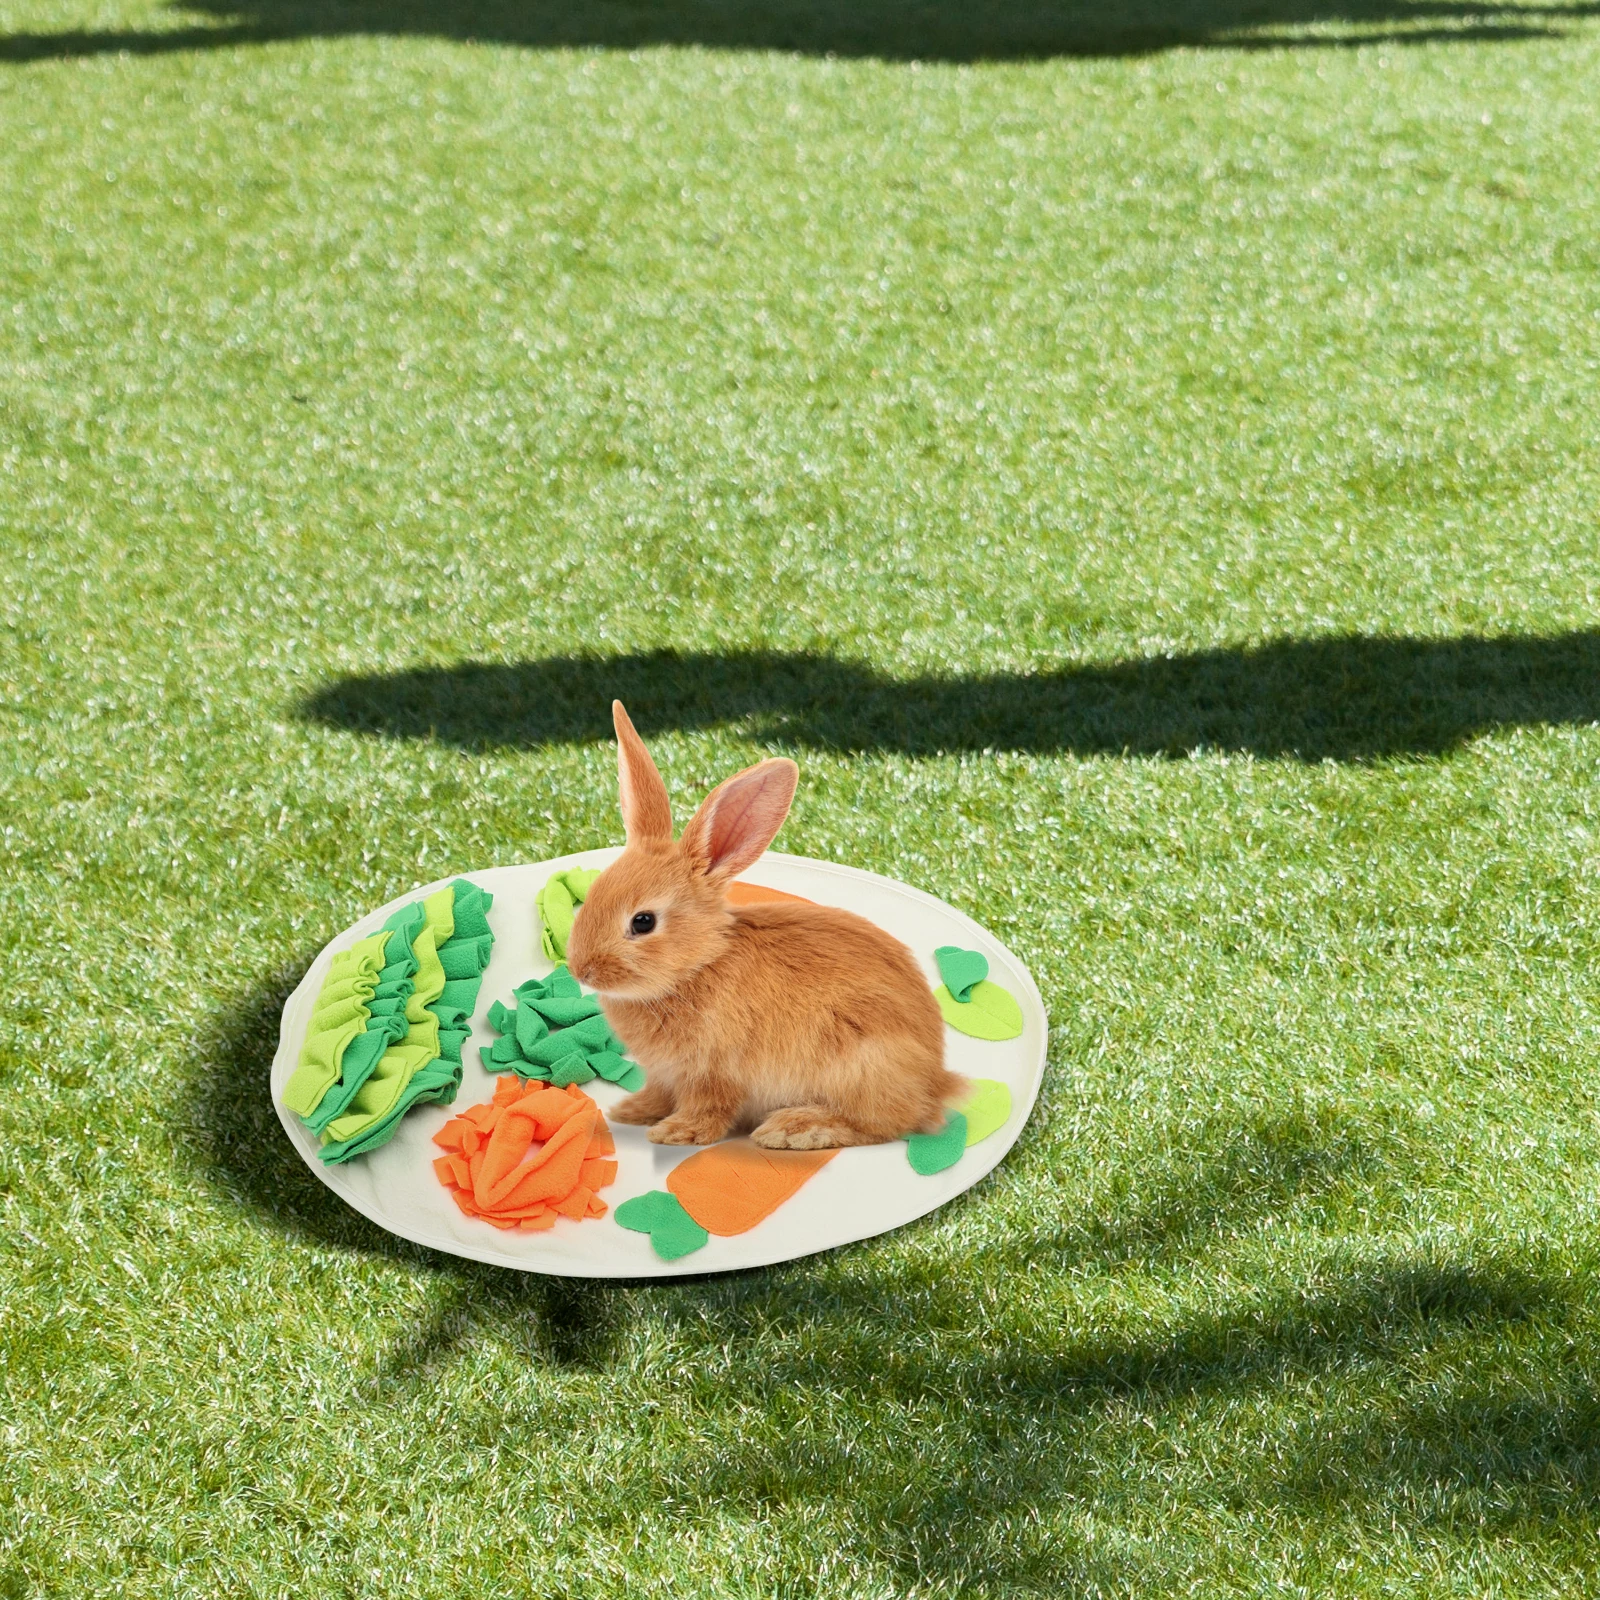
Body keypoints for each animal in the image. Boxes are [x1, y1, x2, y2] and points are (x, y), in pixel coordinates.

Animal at [564, 701, 965, 1149]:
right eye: (593, 893)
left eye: (643, 922)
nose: (581, 970)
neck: (698, 966)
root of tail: (935, 1082)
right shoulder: (665, 1076)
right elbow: (658, 1093)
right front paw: (632, 1111)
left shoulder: (714, 1072)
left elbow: (709, 1109)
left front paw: (674, 1132)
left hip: (862, 1063)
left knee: (881, 1123)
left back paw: (794, 1128)